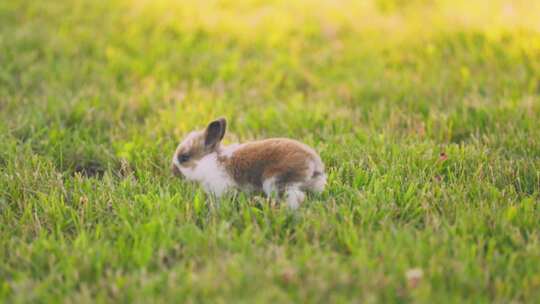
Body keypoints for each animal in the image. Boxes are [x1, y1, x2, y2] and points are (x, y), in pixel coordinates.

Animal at [171, 117, 326, 209]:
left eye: (184, 158)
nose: (173, 171)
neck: (210, 161)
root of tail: (313, 164)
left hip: (275, 182)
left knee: (296, 198)